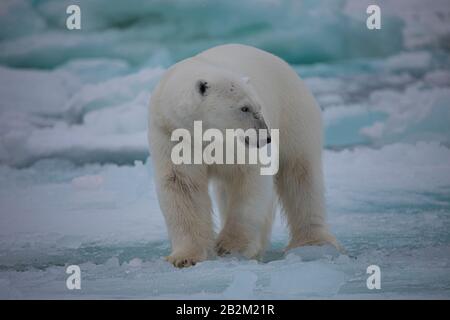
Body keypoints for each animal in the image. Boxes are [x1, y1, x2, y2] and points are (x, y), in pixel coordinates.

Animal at [149, 43, 338, 268]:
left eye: (258, 106)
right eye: (244, 108)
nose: (267, 137)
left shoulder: (236, 145)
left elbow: (249, 178)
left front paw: (229, 247)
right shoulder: (173, 135)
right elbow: (182, 185)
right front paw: (185, 257)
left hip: (294, 115)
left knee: (300, 174)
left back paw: (312, 242)